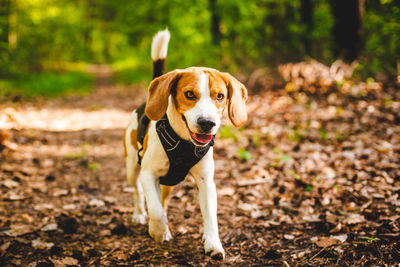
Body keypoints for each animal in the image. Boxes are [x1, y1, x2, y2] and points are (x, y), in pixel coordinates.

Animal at [123, 29, 247, 260]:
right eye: (190, 94)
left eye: (220, 96)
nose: (207, 123)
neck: (183, 142)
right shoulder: (148, 174)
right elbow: (154, 209)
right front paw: (157, 231)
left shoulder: (206, 181)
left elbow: (210, 217)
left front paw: (213, 244)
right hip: (132, 167)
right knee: (138, 192)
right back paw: (139, 214)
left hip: (168, 184)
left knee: (162, 200)